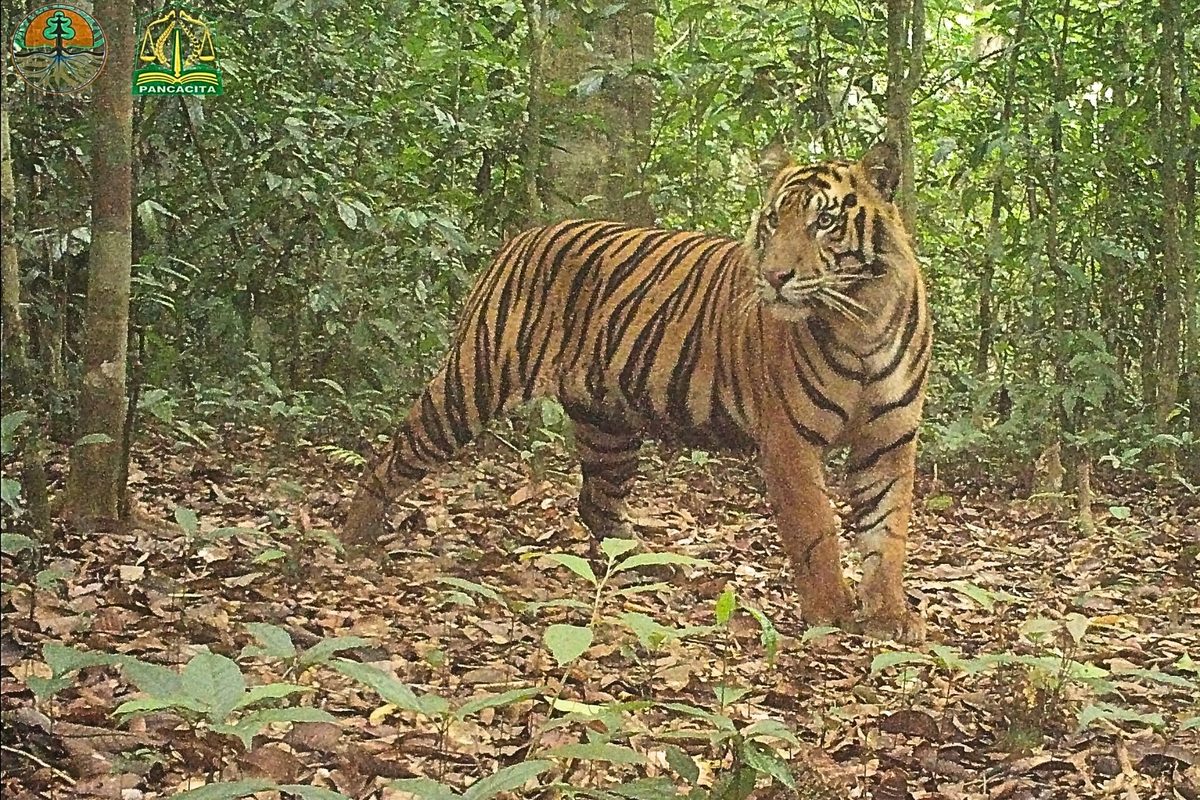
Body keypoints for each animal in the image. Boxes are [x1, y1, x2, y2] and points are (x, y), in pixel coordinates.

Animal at [342, 143, 931, 642]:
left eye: (823, 221)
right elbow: (816, 531)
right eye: (772, 221)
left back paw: (646, 567)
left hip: (609, 424)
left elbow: (886, 533)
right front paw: (831, 613)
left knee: (596, 501)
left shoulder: (889, 442)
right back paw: (353, 540)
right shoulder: (790, 441)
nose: (773, 276)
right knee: (395, 453)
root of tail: (525, 235)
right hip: (475, 382)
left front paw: (890, 617)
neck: (862, 321)